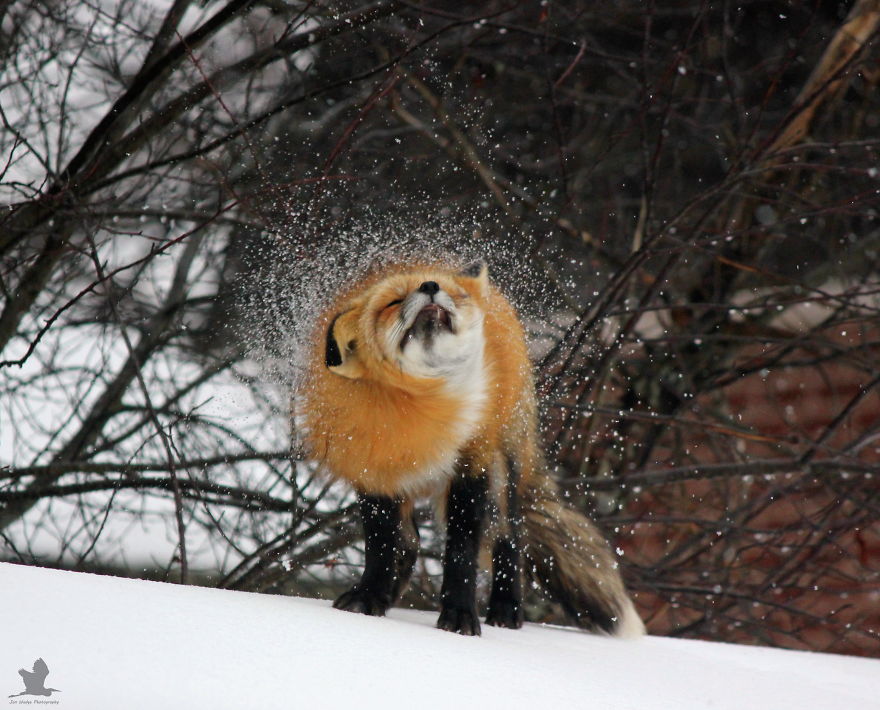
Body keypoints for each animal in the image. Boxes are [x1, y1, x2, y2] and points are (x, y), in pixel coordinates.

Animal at [299, 259, 644, 637]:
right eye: (392, 302)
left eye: (452, 292)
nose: (430, 285)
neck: (422, 405)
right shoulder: (373, 473)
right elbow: (381, 548)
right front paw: (369, 598)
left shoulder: (470, 469)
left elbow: (461, 554)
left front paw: (460, 614)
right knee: (409, 542)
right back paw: (390, 595)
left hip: (502, 476)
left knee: (510, 540)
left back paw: (506, 609)